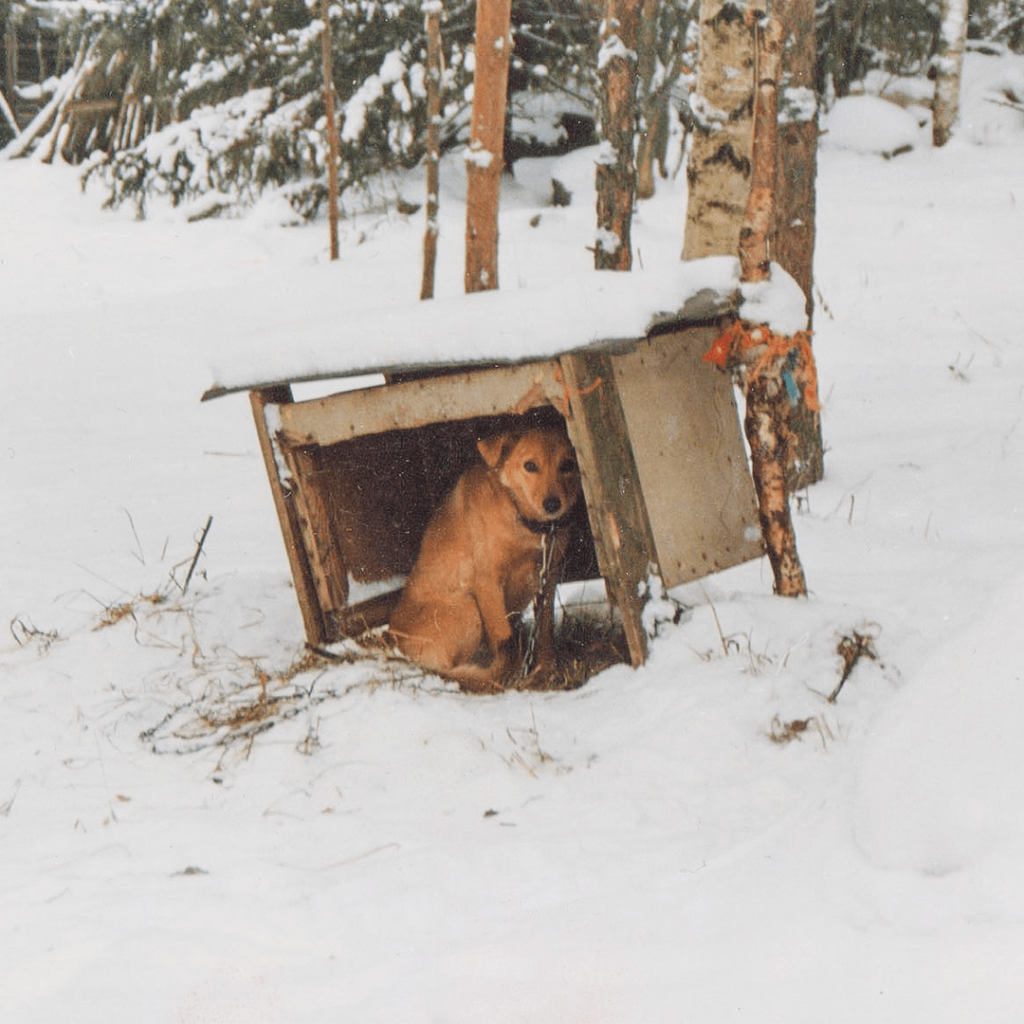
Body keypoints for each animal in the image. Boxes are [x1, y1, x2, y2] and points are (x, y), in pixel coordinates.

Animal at [391, 419, 581, 692]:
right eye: (530, 465)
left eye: (567, 465)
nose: (553, 504)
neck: (524, 524)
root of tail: (395, 639)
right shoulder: (488, 583)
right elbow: (504, 638)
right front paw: (515, 673)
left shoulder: (548, 578)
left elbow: (545, 631)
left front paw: (547, 669)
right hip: (467, 607)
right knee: (453, 671)